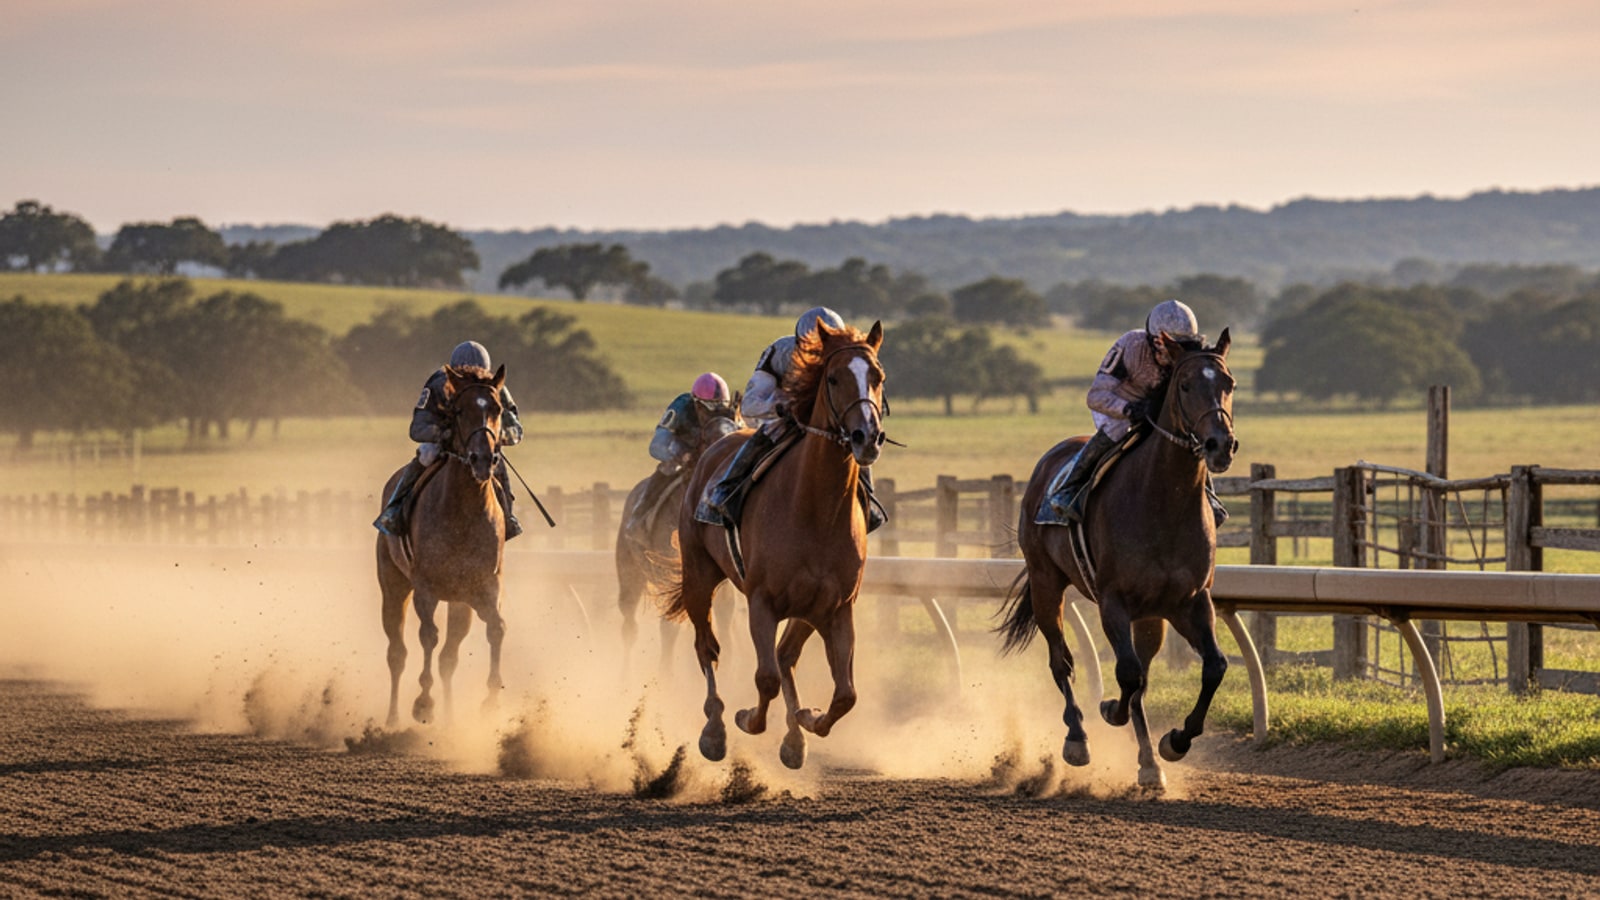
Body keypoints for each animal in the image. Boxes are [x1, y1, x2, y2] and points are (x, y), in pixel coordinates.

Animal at [375, 364, 510, 728]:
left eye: (497, 409)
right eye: (460, 411)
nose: (483, 459)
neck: (463, 511)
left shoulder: (485, 586)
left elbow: (496, 628)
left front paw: (492, 699)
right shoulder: (425, 587)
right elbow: (428, 636)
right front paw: (424, 702)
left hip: (460, 603)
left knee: (449, 657)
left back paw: (450, 719)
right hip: (393, 586)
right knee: (397, 653)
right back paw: (392, 717)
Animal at [615, 410, 740, 670]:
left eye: (736, 430)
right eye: (709, 437)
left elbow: (724, 620)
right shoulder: (669, 573)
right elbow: (670, 626)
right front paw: (666, 673)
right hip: (629, 574)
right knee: (629, 627)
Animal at [664, 320, 886, 769]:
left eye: (878, 376)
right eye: (833, 378)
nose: (866, 437)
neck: (816, 510)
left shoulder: (837, 608)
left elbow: (845, 695)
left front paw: (806, 719)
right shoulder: (761, 600)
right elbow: (764, 678)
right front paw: (746, 719)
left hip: (807, 610)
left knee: (786, 656)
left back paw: (794, 737)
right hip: (698, 576)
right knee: (707, 647)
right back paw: (714, 730)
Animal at [998, 329, 1237, 790]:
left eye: (1229, 383)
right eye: (1184, 385)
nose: (1220, 445)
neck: (1163, 502)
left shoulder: (1190, 601)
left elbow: (1212, 667)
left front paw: (1175, 741)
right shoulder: (1113, 601)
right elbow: (1127, 673)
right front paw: (1109, 710)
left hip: (1151, 617)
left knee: (1140, 674)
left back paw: (1149, 763)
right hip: (1045, 582)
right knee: (1062, 661)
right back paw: (1077, 738)